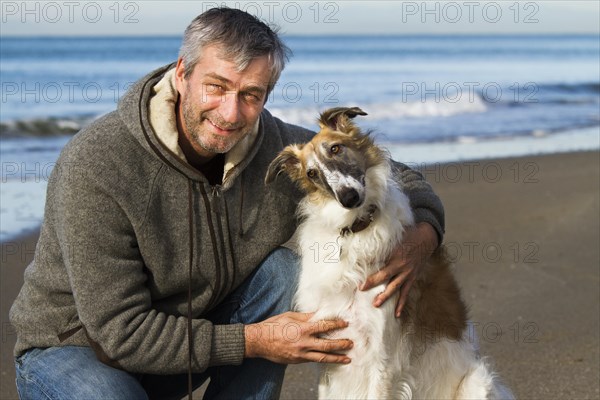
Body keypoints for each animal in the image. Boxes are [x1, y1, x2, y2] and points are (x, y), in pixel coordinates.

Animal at [264, 107, 512, 400]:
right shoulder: (329, 354)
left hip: (476, 383)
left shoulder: (382, 357)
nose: (348, 197)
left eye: (336, 148)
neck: (353, 231)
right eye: (312, 173)